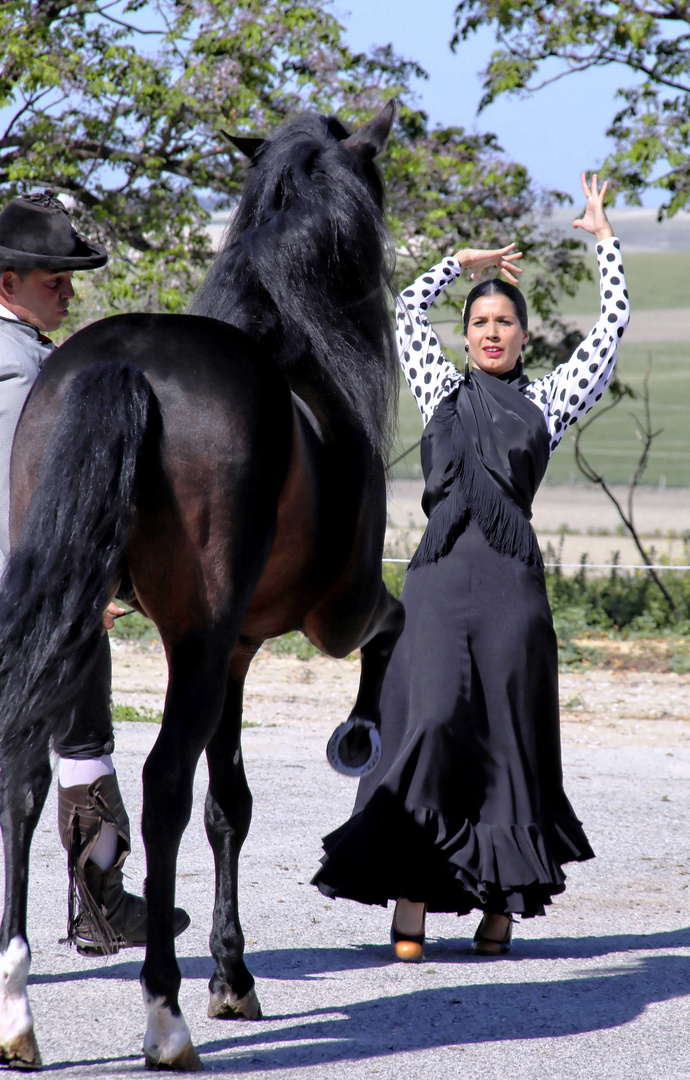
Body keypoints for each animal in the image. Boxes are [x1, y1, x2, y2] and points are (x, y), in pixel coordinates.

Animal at [0, 103, 406, 1071]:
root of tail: (128, 365)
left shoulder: (239, 651)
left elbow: (232, 808)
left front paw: (233, 972)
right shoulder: (328, 616)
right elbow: (393, 628)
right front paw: (361, 733)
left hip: (82, 625)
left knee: (26, 776)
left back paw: (18, 1009)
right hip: (202, 639)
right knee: (161, 789)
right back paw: (163, 1017)